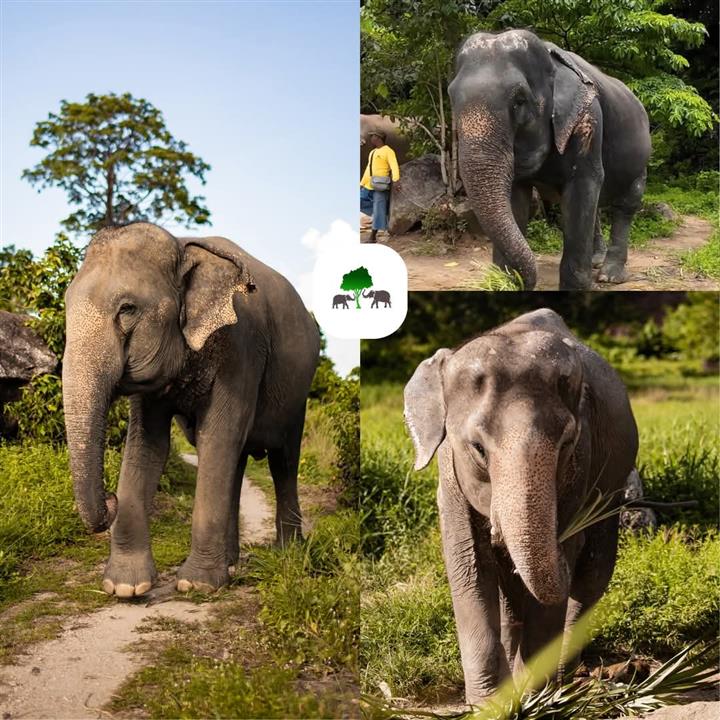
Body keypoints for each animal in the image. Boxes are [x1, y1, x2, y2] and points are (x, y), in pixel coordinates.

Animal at [62, 222, 320, 597]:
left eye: (128, 309)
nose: (110, 499)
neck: (183, 246)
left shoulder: (241, 345)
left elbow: (217, 436)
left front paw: (196, 585)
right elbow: (147, 445)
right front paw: (125, 588)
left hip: (297, 395)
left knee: (283, 460)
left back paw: (287, 557)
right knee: (237, 462)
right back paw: (230, 563)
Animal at [404, 309, 638, 705]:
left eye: (566, 443)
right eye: (478, 449)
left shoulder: (582, 463)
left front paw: (534, 697)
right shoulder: (449, 475)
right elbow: (468, 566)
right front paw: (489, 703)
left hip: (614, 485)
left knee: (593, 572)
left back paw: (566, 677)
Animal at [449, 29, 651, 290]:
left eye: (520, 101)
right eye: (451, 97)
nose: (522, 281)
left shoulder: (588, 120)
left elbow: (582, 186)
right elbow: (515, 196)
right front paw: (506, 281)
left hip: (641, 161)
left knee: (625, 206)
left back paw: (610, 275)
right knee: (596, 206)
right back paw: (595, 262)